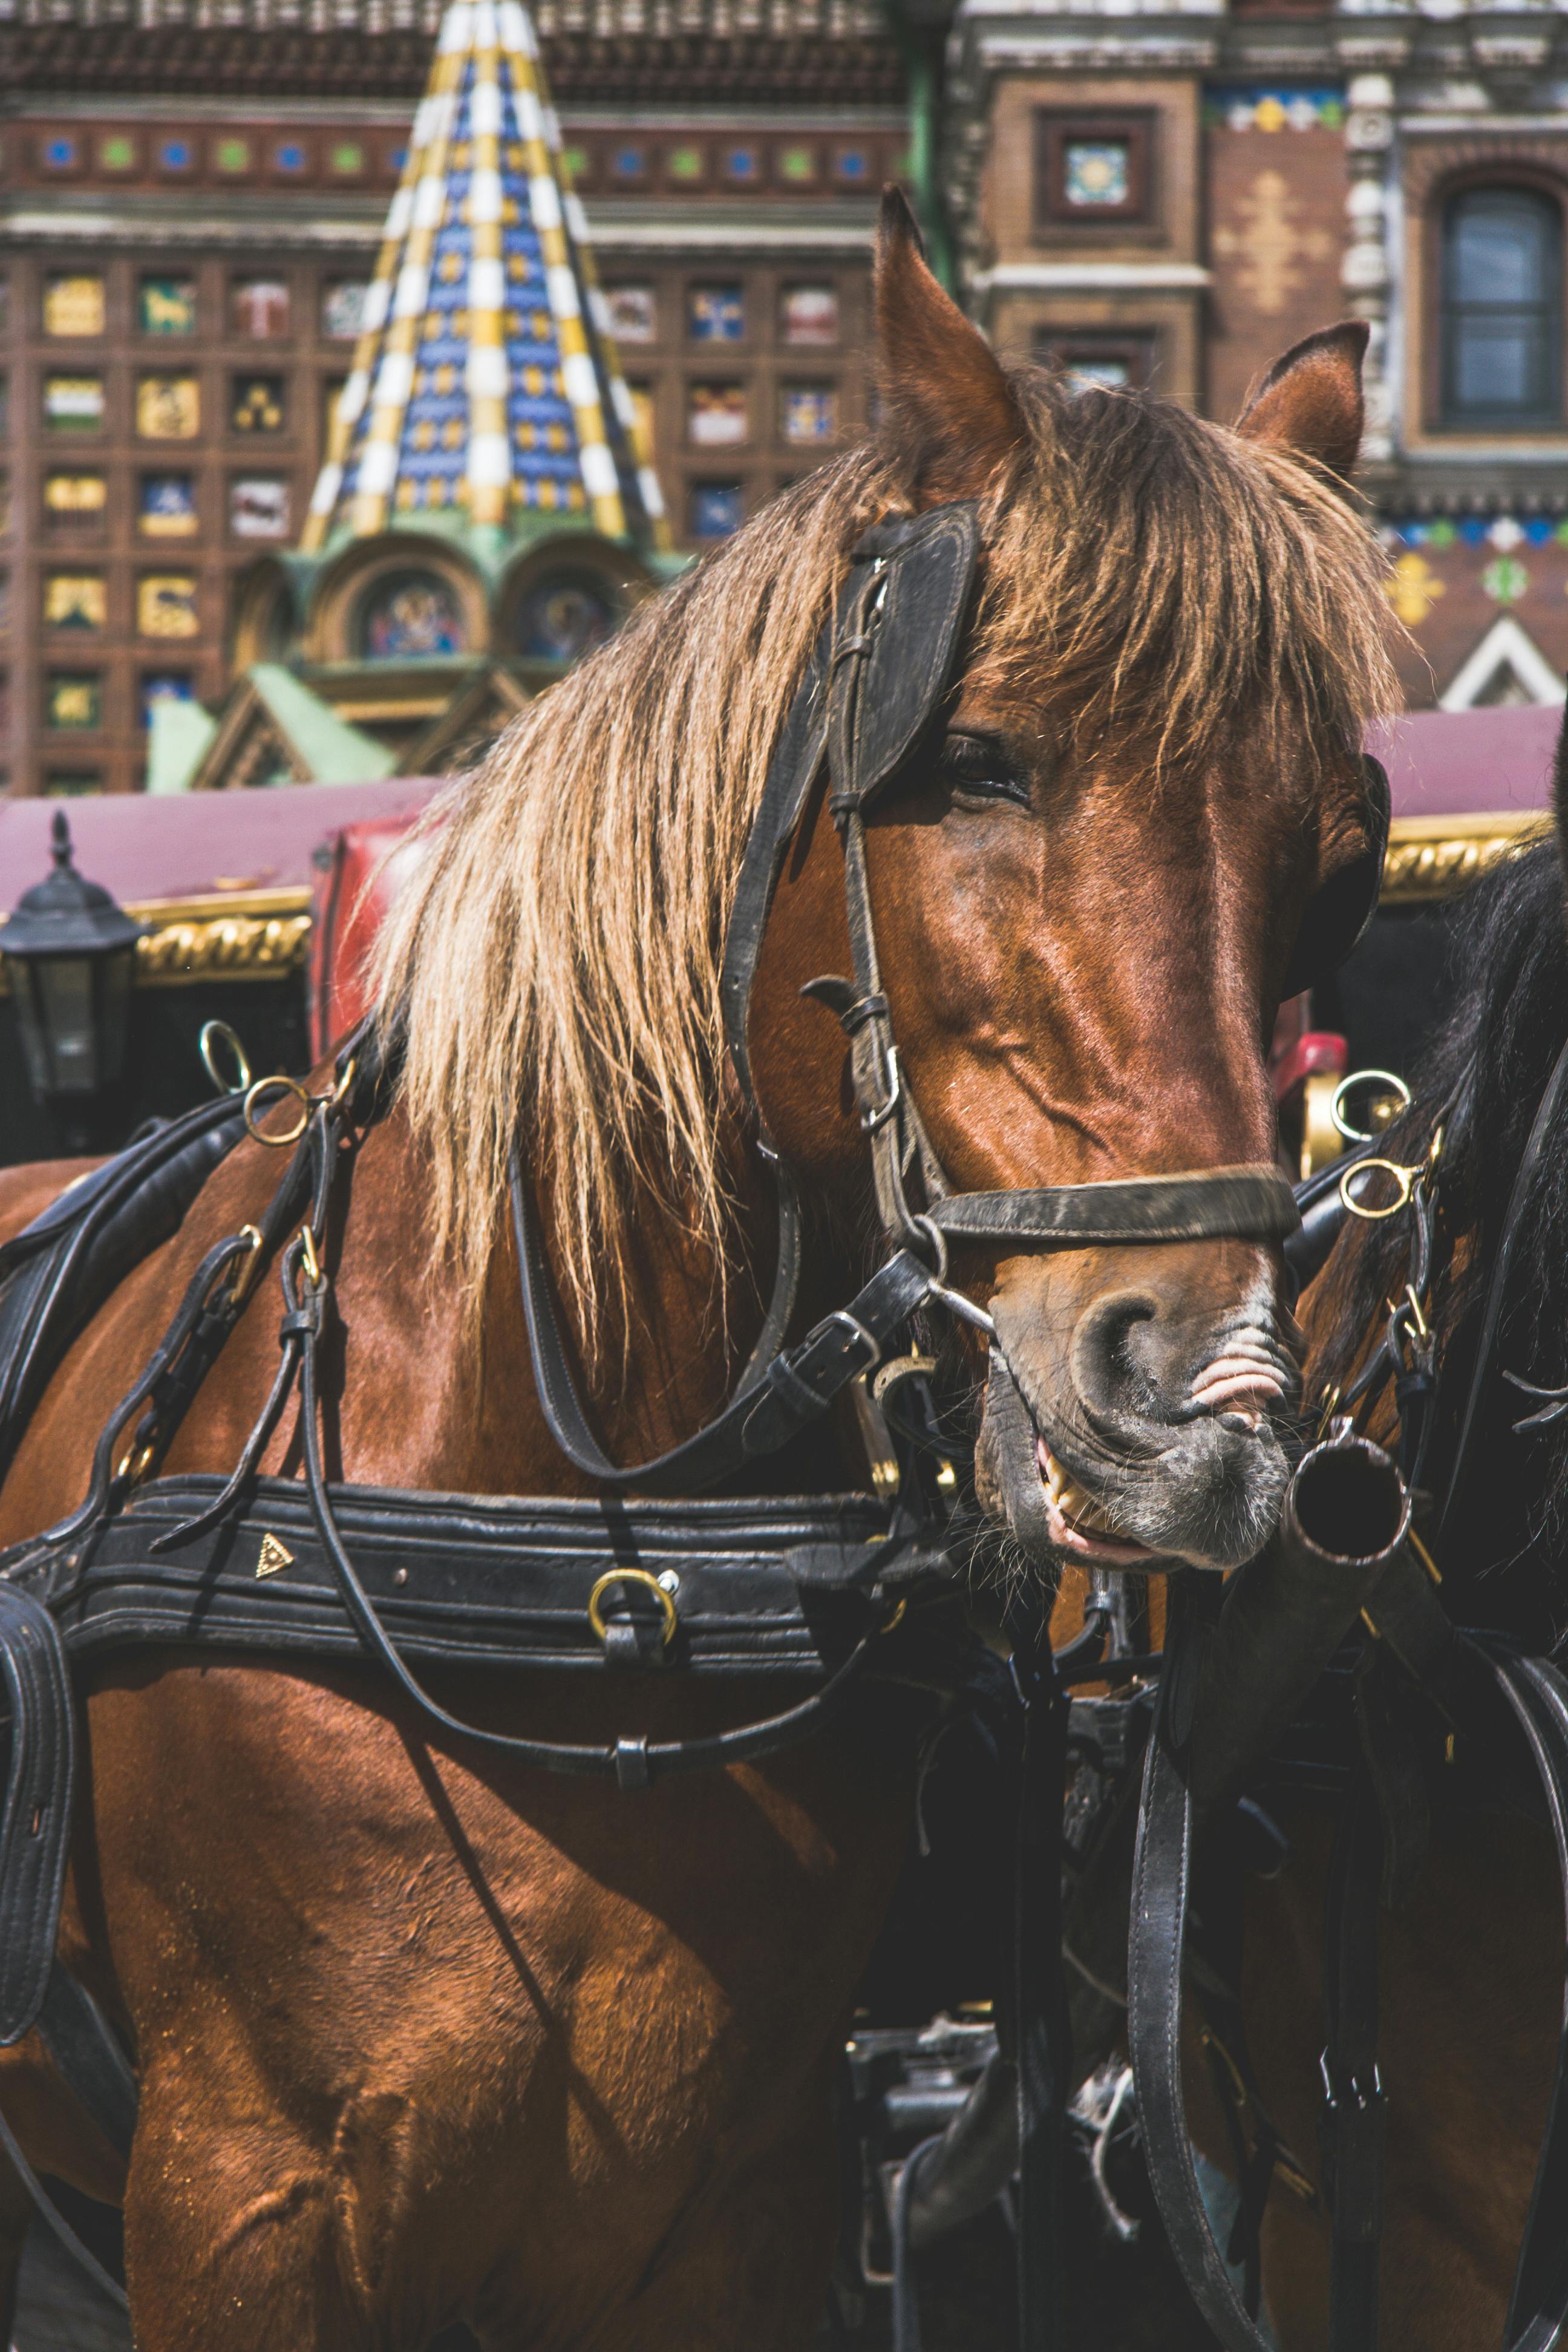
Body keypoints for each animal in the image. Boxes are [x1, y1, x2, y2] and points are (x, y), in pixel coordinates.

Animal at [0, 207, 1401, 2352]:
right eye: (972, 761)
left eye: (1339, 854)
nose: (1207, 1401)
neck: (606, 1583)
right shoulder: (243, 2204)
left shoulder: (726, 2200)